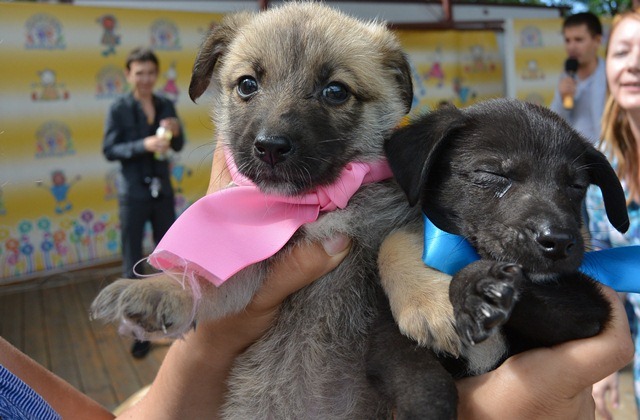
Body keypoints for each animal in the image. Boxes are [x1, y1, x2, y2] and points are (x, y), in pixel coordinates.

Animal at [364, 97, 632, 416]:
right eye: (492, 174)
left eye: (576, 186)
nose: (558, 241)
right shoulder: (384, 338)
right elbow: (413, 372)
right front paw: (427, 406)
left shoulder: (589, 307)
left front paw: (478, 290)